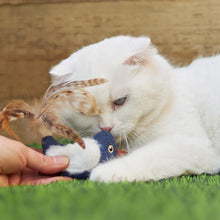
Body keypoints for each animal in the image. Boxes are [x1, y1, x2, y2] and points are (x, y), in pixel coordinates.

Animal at [49, 36, 220, 183]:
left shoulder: (194, 145)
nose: (106, 128)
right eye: (86, 111)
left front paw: (107, 171)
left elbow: (147, 156)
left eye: (120, 101)